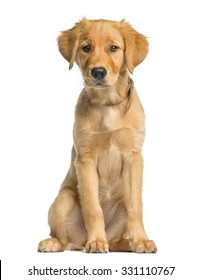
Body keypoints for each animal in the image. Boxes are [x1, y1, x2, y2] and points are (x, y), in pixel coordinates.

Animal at [37, 18, 157, 253]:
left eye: (113, 48)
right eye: (86, 48)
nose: (98, 72)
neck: (107, 104)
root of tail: (79, 242)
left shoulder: (134, 157)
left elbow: (136, 207)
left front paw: (141, 240)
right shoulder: (85, 159)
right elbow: (93, 208)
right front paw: (96, 241)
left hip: (120, 204)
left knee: (117, 238)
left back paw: (127, 243)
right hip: (63, 199)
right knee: (64, 239)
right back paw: (57, 242)